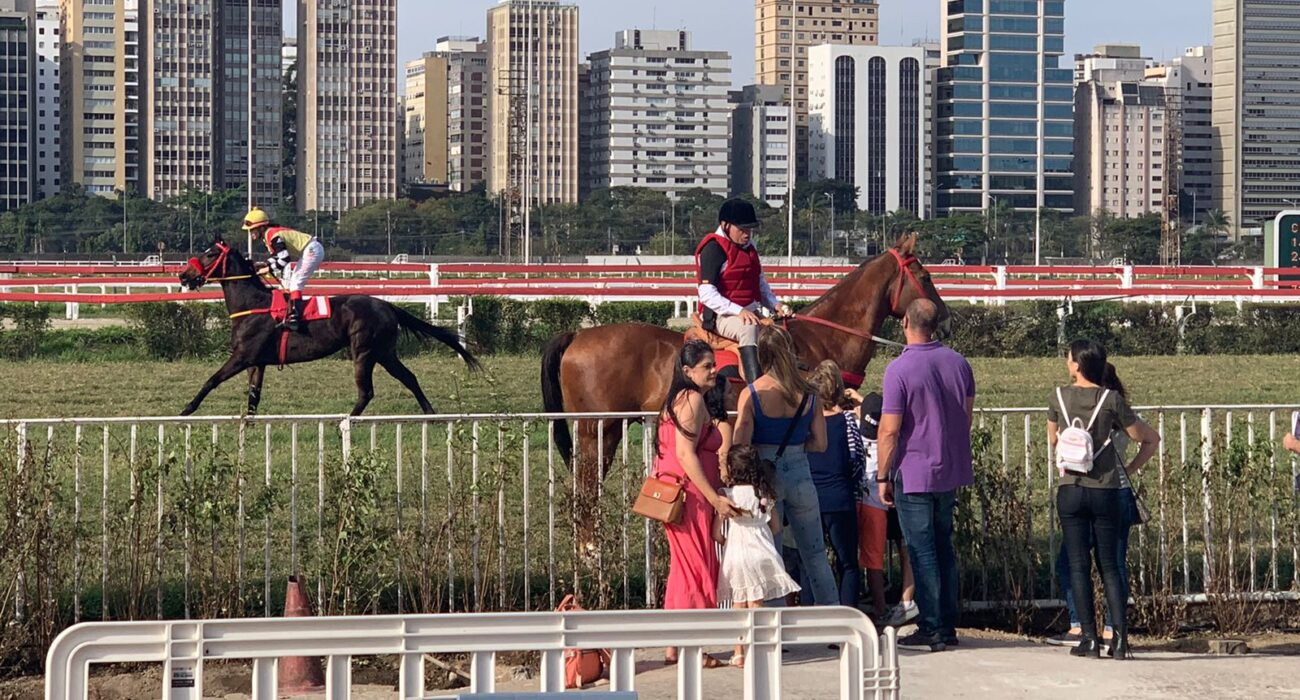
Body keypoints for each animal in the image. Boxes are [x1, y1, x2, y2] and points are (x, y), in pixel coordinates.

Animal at [172, 238, 478, 413]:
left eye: (210, 254)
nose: (183, 275)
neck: (252, 304)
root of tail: (387, 305)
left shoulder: (242, 357)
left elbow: (211, 380)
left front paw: (186, 409)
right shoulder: (256, 362)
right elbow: (253, 398)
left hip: (364, 351)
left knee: (366, 391)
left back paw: (346, 421)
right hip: (384, 352)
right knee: (409, 378)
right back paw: (430, 414)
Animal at [538, 234, 946, 533]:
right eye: (926, 277)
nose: (943, 317)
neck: (820, 341)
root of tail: (578, 334)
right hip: (597, 429)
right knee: (586, 492)